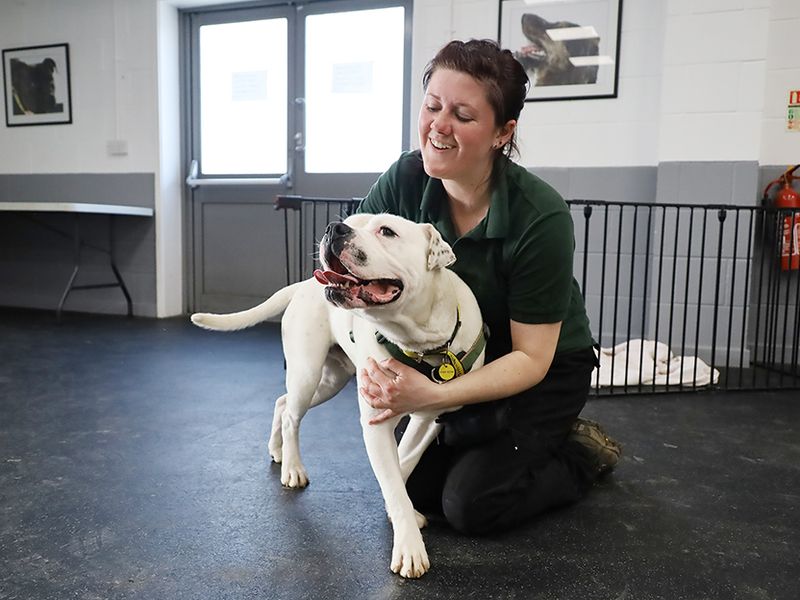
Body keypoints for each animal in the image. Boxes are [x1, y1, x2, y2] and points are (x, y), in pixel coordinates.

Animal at [191, 213, 484, 580]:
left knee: (282, 402)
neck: (423, 341)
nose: (334, 228)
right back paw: (293, 468)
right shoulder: (375, 424)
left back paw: (277, 450)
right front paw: (409, 547)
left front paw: (396, 512)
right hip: (307, 373)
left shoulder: (430, 419)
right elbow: (393, 479)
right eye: (353, 222)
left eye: (387, 231)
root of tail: (304, 285)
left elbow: (403, 465)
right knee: (292, 415)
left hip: (329, 381)